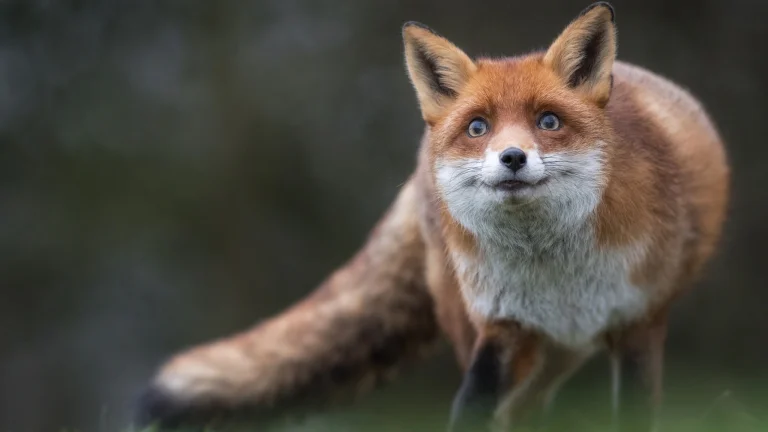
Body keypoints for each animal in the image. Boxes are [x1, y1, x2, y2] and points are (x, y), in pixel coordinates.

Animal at [136, 3, 729, 431]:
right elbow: (471, 408)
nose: (512, 158)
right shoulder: (501, 327)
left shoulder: (638, 325)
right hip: (484, 327)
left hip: (564, 351)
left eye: (548, 121)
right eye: (477, 128)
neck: (558, 274)